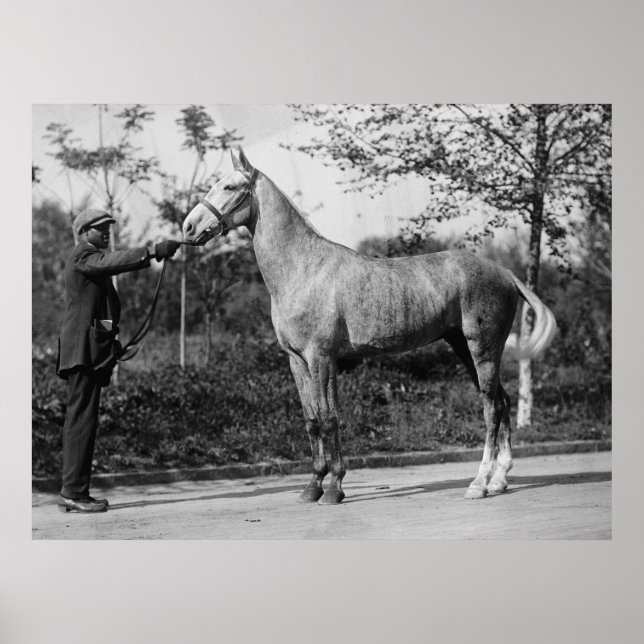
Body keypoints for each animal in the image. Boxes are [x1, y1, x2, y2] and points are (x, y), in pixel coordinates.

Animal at [182, 147, 557, 505]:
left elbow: (329, 418)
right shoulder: (297, 361)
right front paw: (312, 488)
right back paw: (499, 480)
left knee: (492, 407)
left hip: (483, 347)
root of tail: (505, 272)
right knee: (503, 401)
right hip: (464, 347)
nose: (188, 228)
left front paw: (334, 489)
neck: (303, 269)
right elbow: (312, 421)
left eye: (230, 187)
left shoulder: (321, 358)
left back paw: (479, 484)